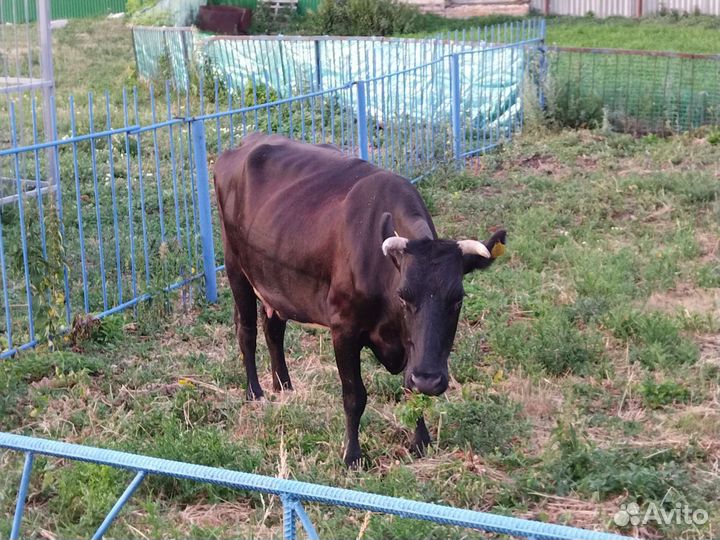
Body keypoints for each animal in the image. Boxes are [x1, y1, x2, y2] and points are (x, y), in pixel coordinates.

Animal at [213, 133, 506, 467]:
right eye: (403, 296)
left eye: (457, 299)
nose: (431, 380)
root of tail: (246, 143)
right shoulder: (344, 328)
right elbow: (354, 395)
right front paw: (352, 454)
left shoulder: (413, 347)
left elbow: (412, 389)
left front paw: (421, 441)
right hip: (235, 267)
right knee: (246, 330)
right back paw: (255, 392)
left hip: (276, 283)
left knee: (273, 329)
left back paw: (284, 387)